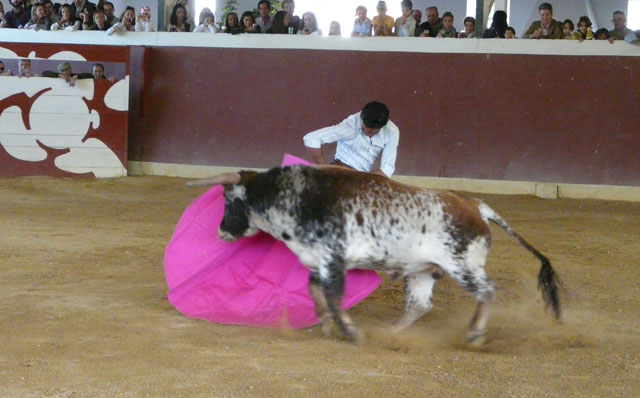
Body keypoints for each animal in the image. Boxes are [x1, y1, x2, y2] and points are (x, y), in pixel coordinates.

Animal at [190, 165, 560, 346]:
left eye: (228, 200)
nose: (221, 232)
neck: (297, 198)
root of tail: (475, 205)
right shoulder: (320, 263)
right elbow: (315, 292)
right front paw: (327, 325)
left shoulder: (334, 260)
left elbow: (334, 297)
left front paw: (350, 332)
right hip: (422, 271)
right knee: (421, 305)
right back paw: (393, 334)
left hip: (464, 265)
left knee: (487, 292)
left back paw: (474, 334)